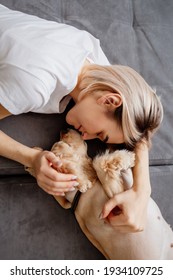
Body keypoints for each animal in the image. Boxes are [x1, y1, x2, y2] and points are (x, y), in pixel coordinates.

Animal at [25, 129, 173, 260]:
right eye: (64, 144)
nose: (64, 129)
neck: (79, 194)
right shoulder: (116, 201)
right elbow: (99, 164)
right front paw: (128, 157)